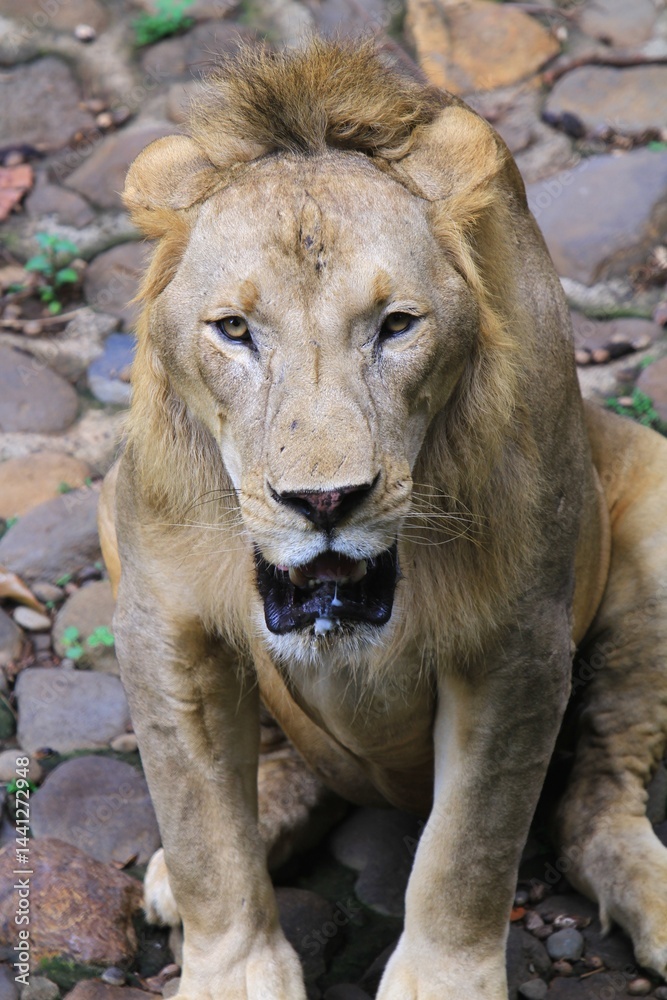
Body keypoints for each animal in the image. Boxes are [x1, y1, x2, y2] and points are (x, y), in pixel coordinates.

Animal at [98, 39, 667, 999]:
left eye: (396, 325)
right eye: (234, 330)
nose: (325, 501)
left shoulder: (518, 644)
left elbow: (469, 844)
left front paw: (441, 980)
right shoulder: (162, 621)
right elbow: (203, 828)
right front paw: (233, 969)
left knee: (594, 800)